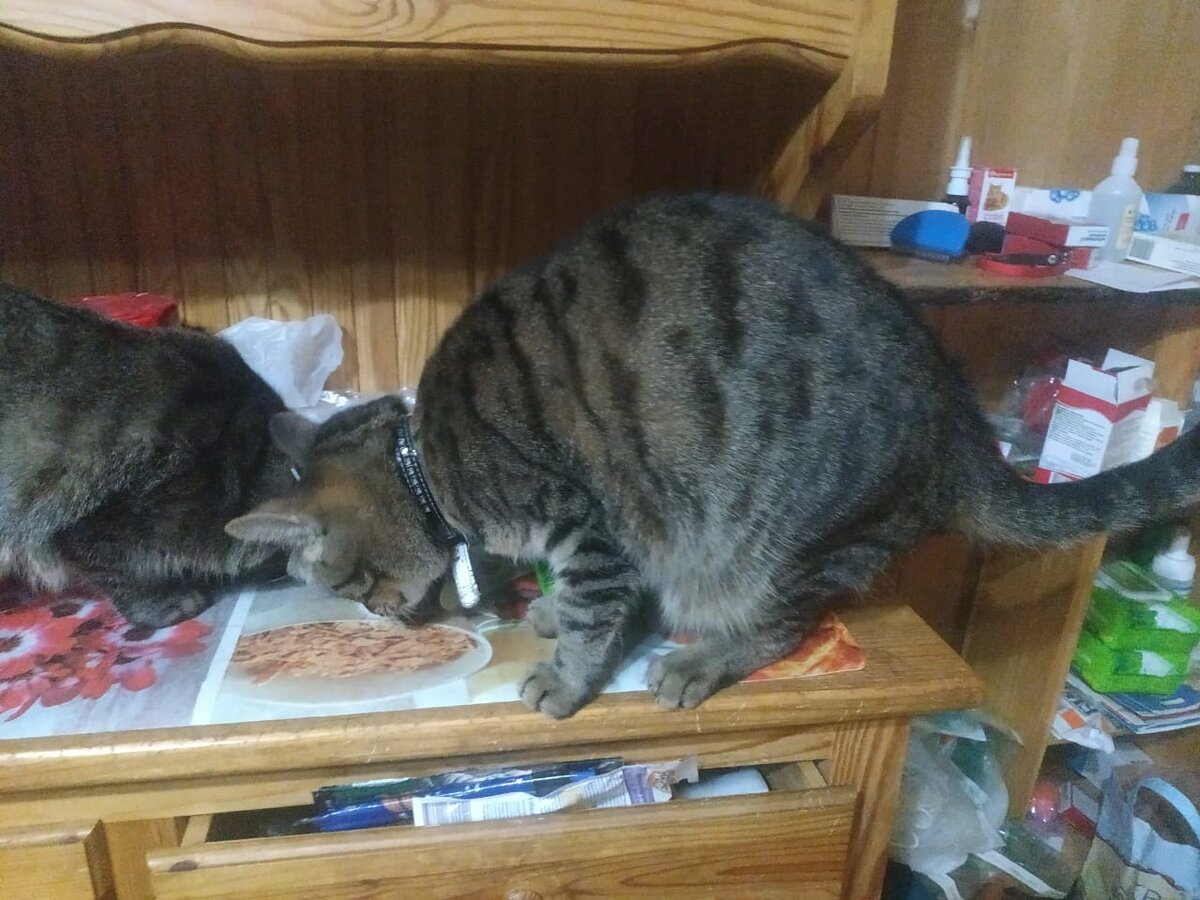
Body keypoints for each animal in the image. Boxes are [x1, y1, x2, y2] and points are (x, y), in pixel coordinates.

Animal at [226, 193, 1200, 718]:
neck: (428, 461)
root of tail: (961, 420)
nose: (381, 623)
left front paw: (565, 675)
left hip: (786, 542)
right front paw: (543, 611)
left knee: (781, 624)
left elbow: (594, 611)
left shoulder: (586, 524)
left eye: (349, 587)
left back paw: (699, 659)